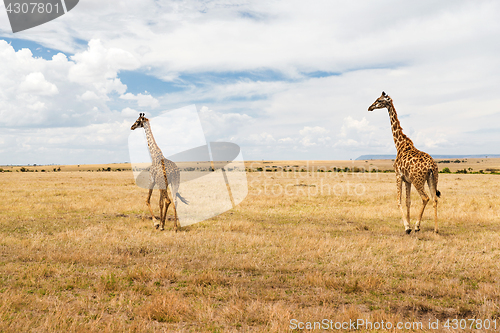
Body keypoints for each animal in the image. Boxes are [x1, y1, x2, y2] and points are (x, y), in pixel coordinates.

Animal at [368, 89, 442, 232]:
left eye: (379, 100)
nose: (370, 107)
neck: (399, 144)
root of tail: (431, 165)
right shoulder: (407, 180)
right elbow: (408, 201)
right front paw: (408, 223)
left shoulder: (398, 175)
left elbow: (398, 200)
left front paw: (407, 226)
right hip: (432, 178)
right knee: (435, 199)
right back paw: (436, 229)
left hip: (417, 180)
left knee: (425, 198)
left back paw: (417, 226)